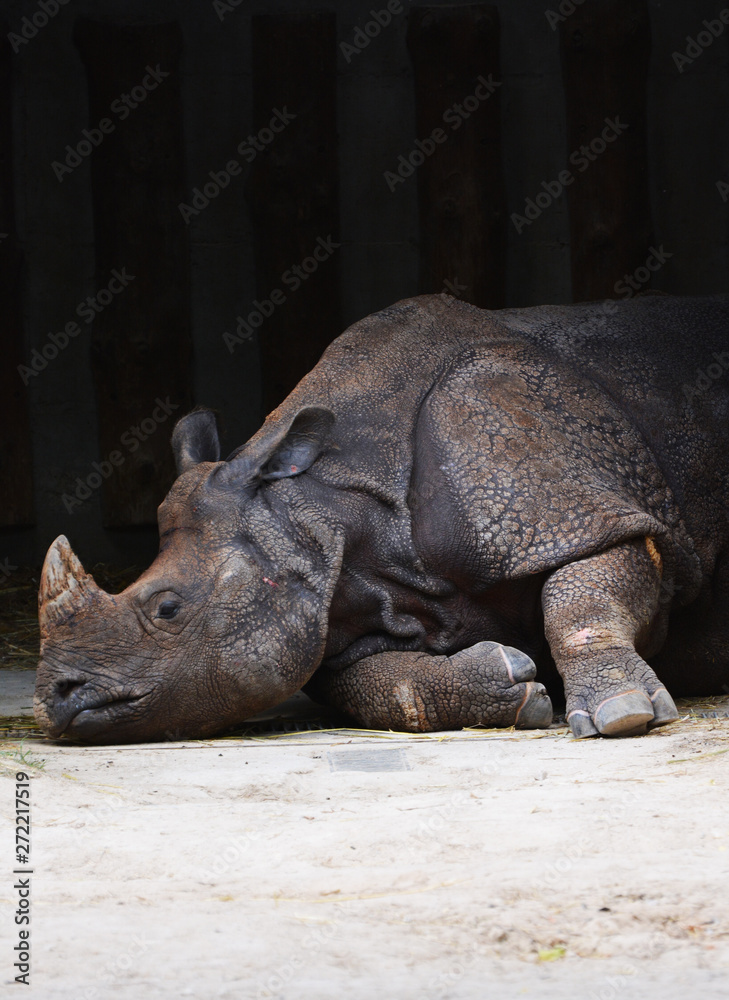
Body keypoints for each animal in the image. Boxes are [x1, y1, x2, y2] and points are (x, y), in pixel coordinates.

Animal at [34, 293, 729, 743]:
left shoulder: (574, 513)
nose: (55, 699)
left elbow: (585, 587)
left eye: (167, 608)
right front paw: (510, 684)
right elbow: (378, 686)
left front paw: (622, 713)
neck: (325, 505)